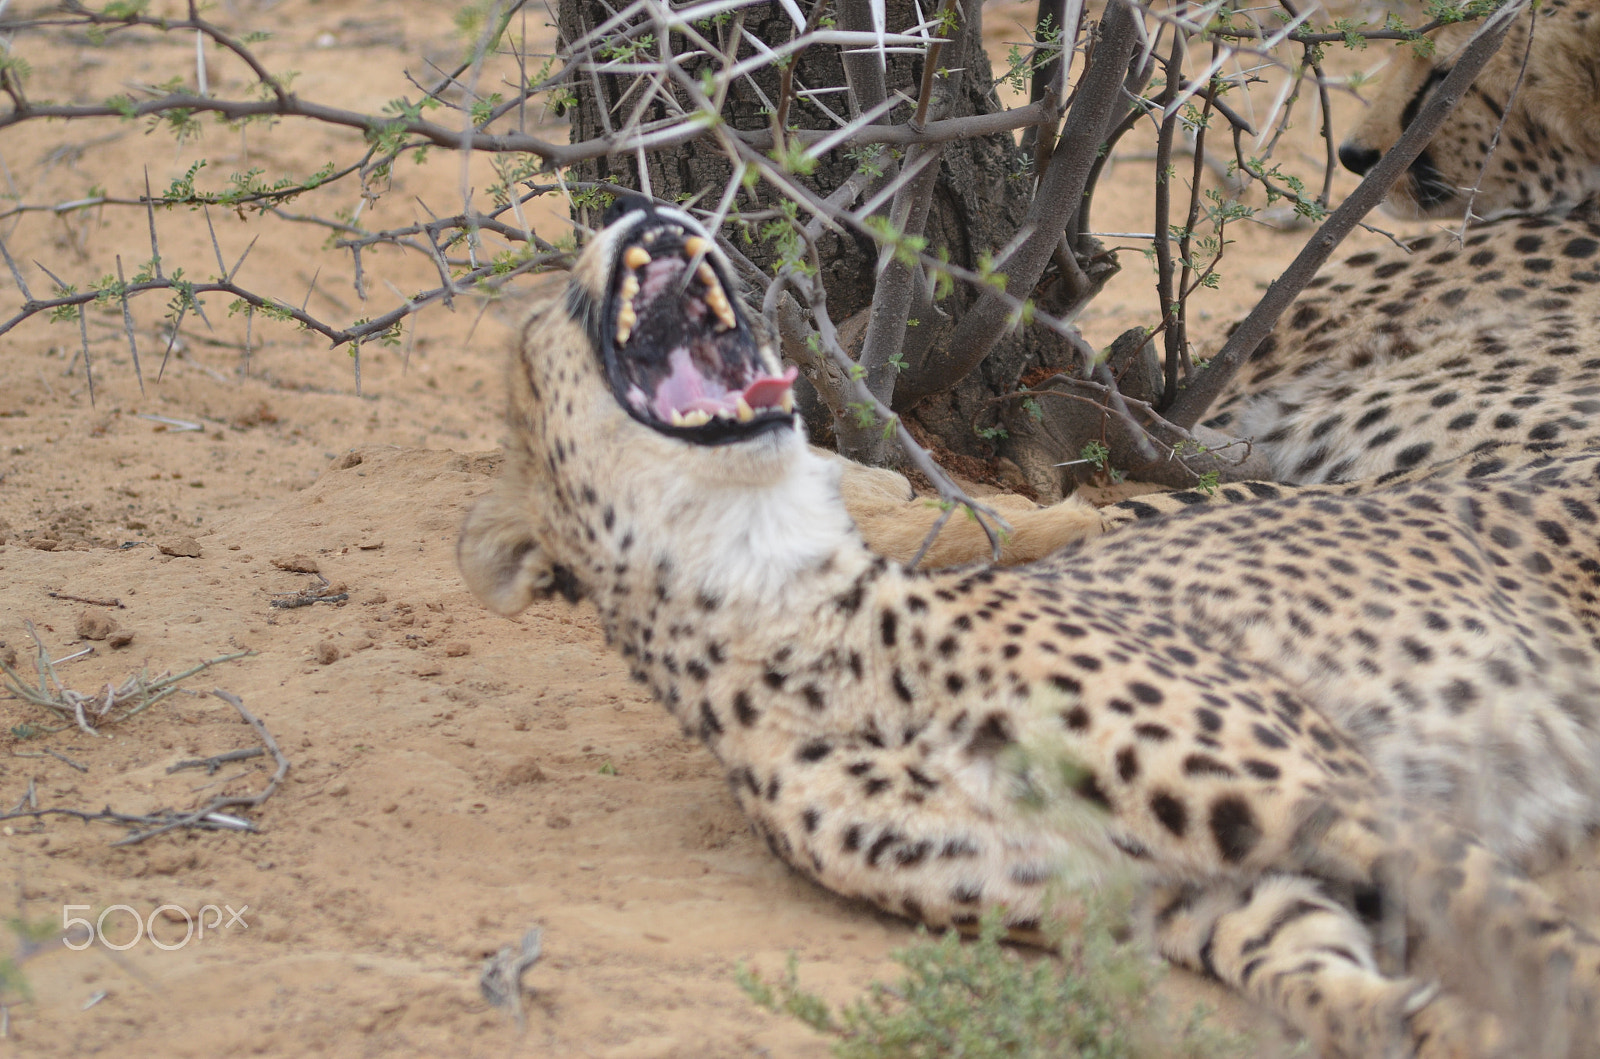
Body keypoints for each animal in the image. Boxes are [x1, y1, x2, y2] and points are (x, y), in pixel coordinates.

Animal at [464, 203, 1600, 1055]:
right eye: (551, 320)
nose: (637, 211)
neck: (789, 624)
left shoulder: (1353, 799)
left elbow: (1538, 940)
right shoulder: (1201, 891)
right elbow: (1317, 975)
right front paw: (1432, 1022)